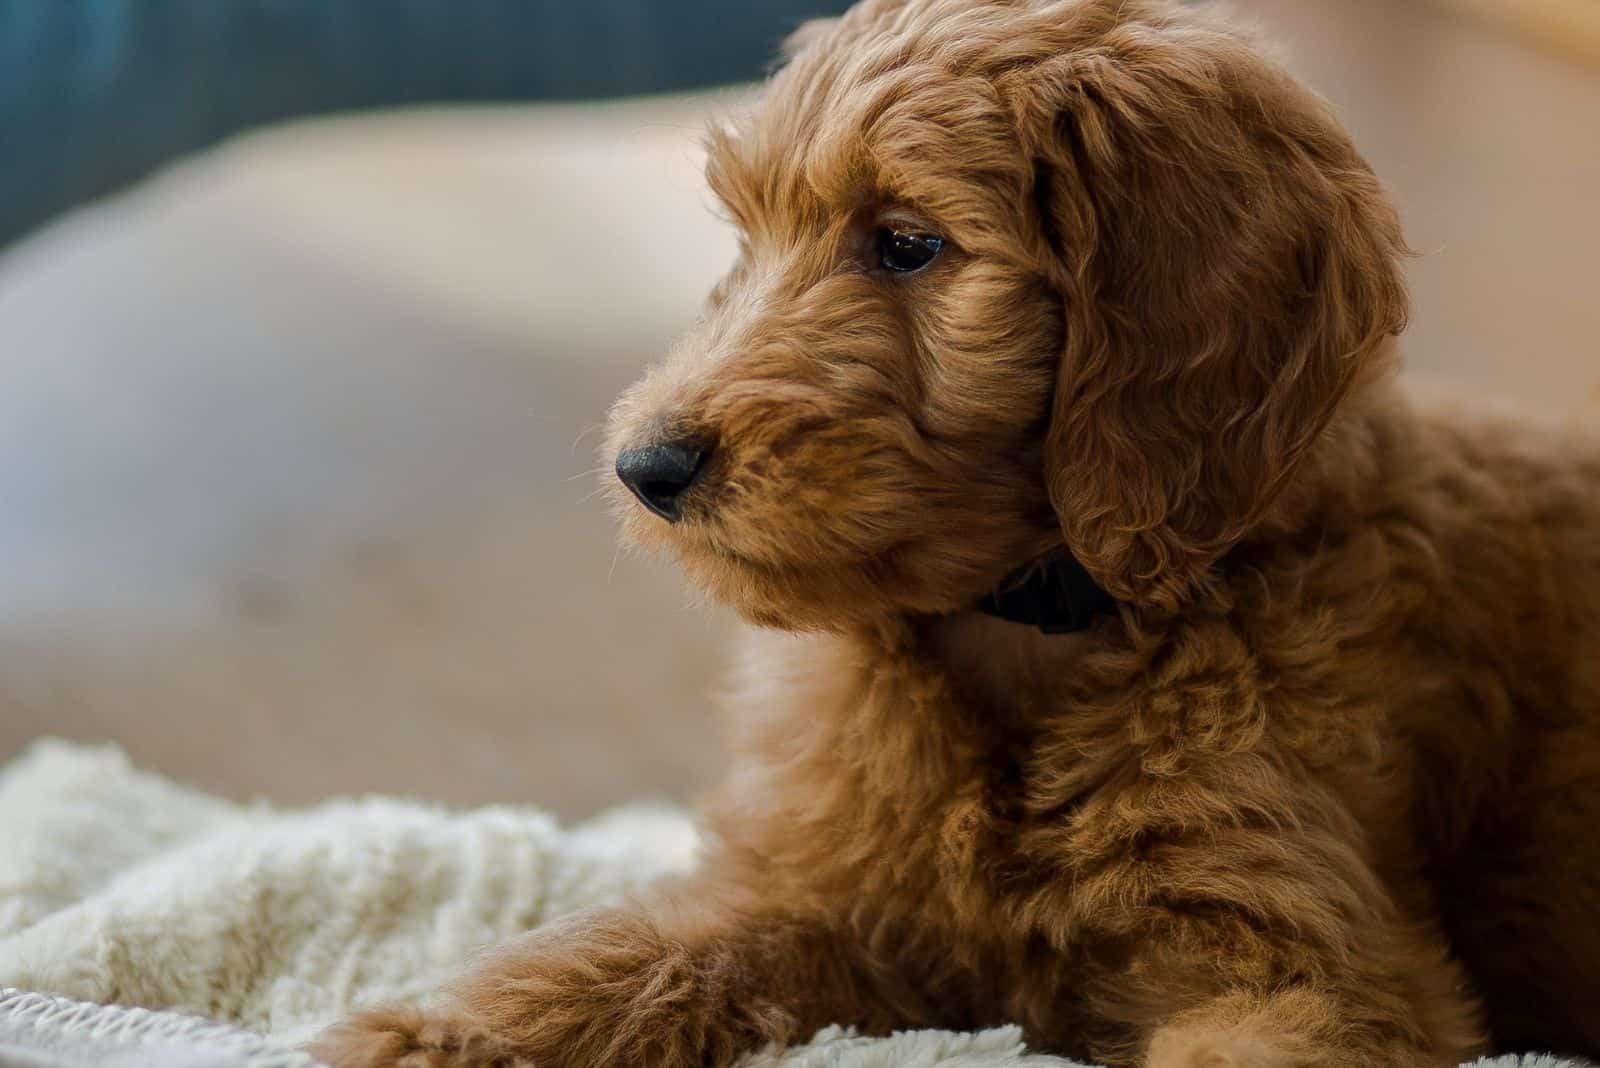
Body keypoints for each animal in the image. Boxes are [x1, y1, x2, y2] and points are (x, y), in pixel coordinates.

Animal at [312, 2, 1600, 1068]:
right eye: (747, 237)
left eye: (907, 243)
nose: (646, 468)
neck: (1037, 615)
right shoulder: (822, 898)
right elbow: (627, 953)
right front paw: (434, 1031)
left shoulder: (1302, 964)